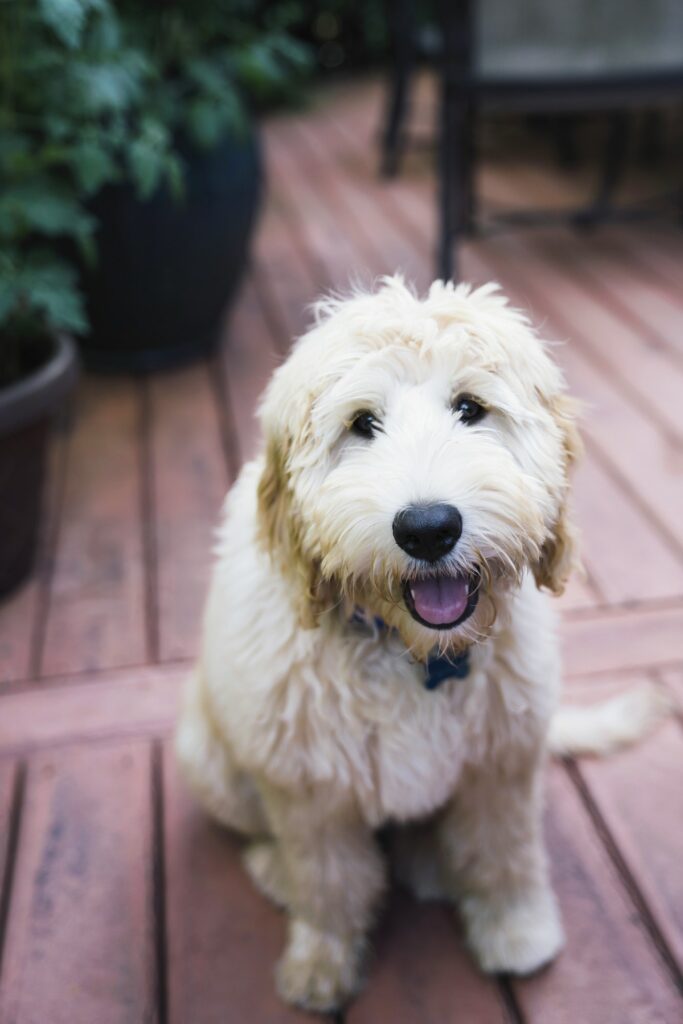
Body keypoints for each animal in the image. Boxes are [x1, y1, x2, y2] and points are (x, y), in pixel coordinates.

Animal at [176, 276, 667, 1011]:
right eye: (361, 424)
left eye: (470, 408)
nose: (429, 527)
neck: (412, 653)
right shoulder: (307, 785)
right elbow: (328, 879)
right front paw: (321, 962)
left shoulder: (503, 761)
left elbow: (503, 851)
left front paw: (515, 931)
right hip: (208, 755)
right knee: (273, 839)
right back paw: (276, 868)